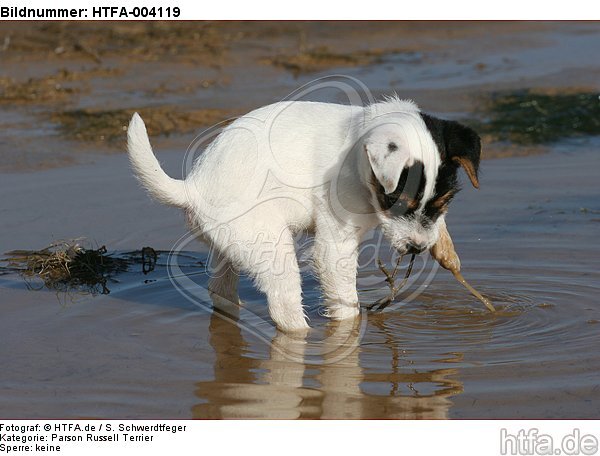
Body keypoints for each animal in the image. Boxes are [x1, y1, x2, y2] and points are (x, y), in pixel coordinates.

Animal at [127, 96, 482, 332]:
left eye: (443, 202)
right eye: (397, 202)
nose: (417, 248)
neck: (359, 155)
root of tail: (193, 187)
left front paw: (445, 249)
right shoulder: (334, 246)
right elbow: (345, 303)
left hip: (230, 246)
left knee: (221, 290)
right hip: (271, 249)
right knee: (283, 307)